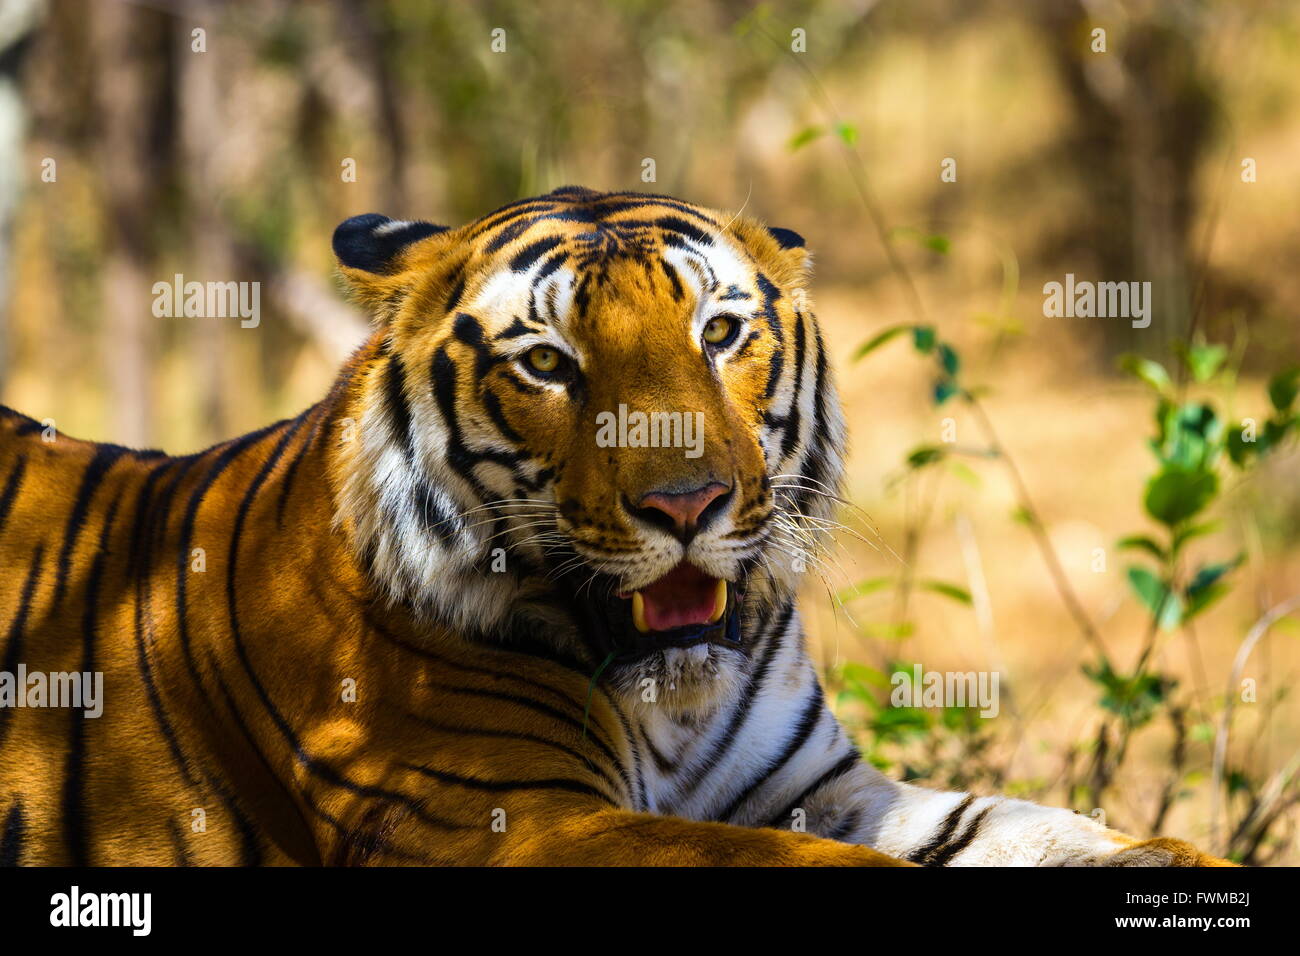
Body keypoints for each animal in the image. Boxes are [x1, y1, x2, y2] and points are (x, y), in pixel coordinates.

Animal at [0, 185, 1229, 866]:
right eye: (549, 363)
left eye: (721, 333)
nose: (687, 506)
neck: (671, 708)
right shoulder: (508, 818)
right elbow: (783, 864)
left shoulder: (822, 785)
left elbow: (1030, 827)